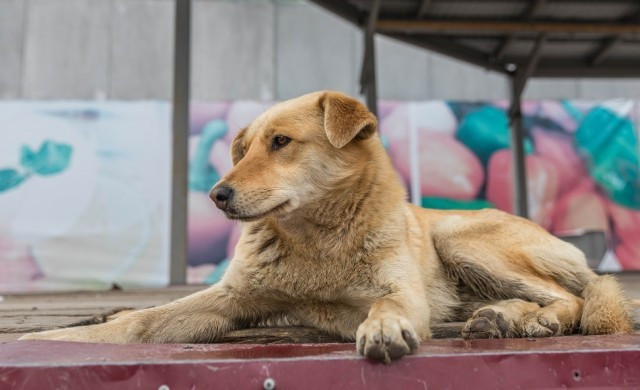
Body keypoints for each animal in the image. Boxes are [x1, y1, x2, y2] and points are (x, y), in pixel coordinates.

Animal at [21, 90, 636, 362]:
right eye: (244, 149)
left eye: (281, 142)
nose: (218, 195)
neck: (315, 240)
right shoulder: (229, 300)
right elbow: (138, 322)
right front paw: (52, 338)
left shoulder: (398, 290)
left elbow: (386, 305)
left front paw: (382, 329)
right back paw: (501, 318)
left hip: (459, 239)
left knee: (574, 298)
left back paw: (533, 320)